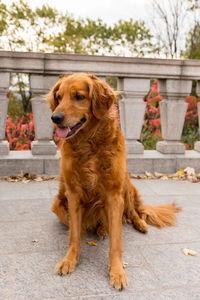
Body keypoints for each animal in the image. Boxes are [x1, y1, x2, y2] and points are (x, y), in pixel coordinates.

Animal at [46, 73, 180, 290]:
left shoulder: (114, 195)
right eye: (59, 97)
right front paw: (70, 259)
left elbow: (116, 240)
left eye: (78, 96)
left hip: (126, 186)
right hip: (58, 205)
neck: (89, 143)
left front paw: (117, 271)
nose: (55, 118)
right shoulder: (73, 194)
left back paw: (138, 224)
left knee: (134, 212)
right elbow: (74, 234)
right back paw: (99, 228)